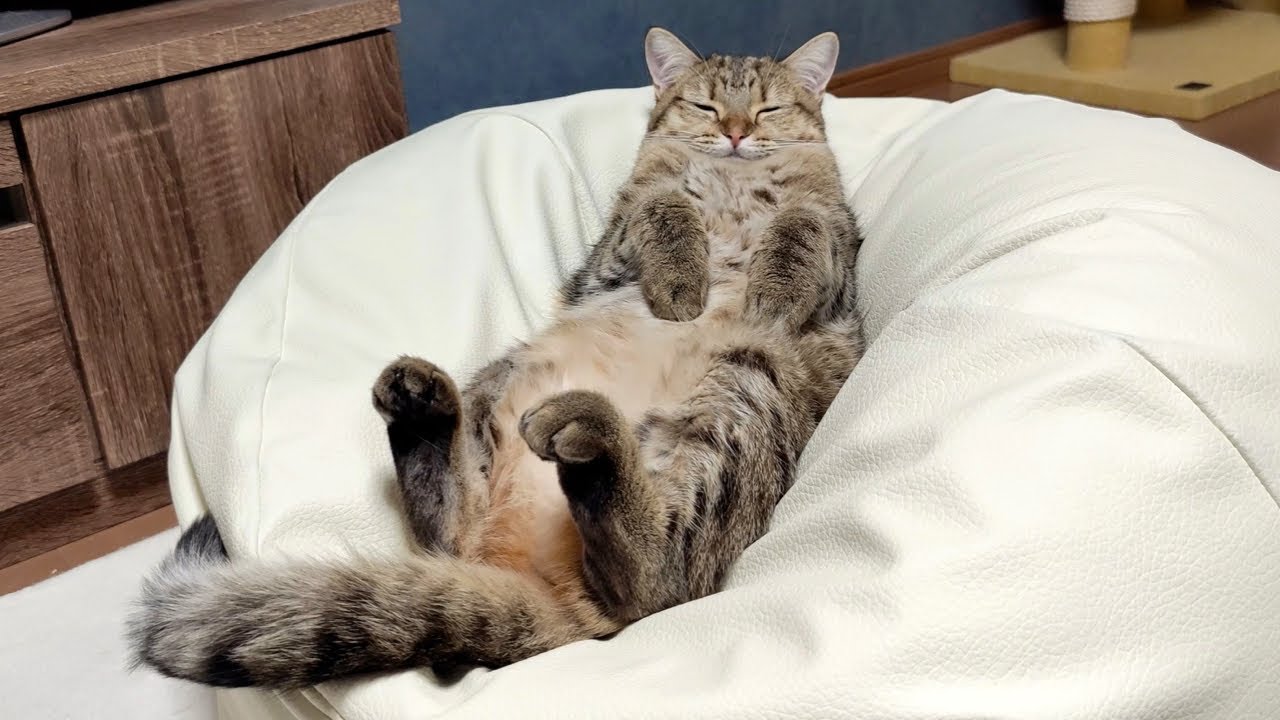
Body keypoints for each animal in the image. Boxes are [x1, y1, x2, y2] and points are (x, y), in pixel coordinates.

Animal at [130, 27, 864, 689]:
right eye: (705, 106)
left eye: (769, 109)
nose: (737, 132)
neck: (732, 180)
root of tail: (542, 591)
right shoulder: (622, 231)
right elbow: (665, 206)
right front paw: (683, 285)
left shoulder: (835, 232)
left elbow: (804, 224)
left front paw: (774, 293)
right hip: (504, 382)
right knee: (464, 535)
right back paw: (428, 415)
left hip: (739, 402)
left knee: (652, 582)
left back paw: (582, 440)